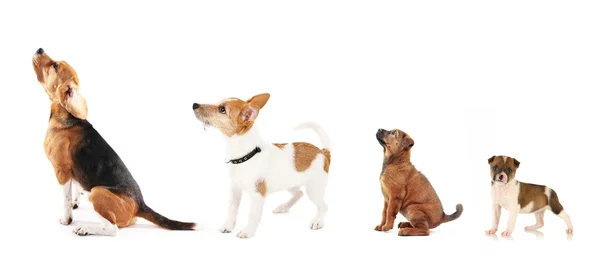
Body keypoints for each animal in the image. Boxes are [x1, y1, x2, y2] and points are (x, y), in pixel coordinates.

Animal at [31, 48, 196, 237]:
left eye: (55, 66)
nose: (40, 49)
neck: (66, 116)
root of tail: (141, 204)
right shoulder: (72, 174)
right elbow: (75, 190)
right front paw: (75, 202)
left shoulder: (61, 170)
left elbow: (65, 199)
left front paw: (67, 219)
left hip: (97, 192)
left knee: (112, 229)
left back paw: (85, 229)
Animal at [193, 93, 330, 239]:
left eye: (222, 109)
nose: (194, 104)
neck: (246, 155)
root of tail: (323, 151)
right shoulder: (235, 190)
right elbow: (232, 209)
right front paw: (228, 227)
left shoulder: (257, 194)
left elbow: (253, 214)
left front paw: (247, 231)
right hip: (290, 184)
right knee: (299, 193)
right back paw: (283, 207)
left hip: (314, 189)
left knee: (323, 206)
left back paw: (317, 221)